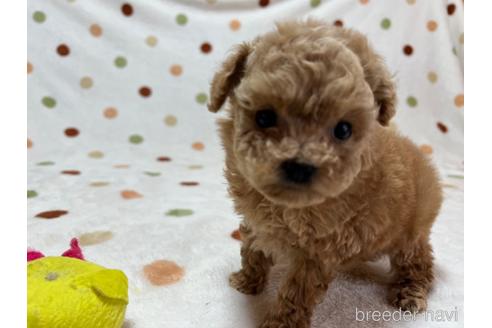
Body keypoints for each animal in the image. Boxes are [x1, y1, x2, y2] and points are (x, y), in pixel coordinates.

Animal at [207, 21, 442, 328]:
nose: (300, 166)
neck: (286, 206)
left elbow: (296, 292)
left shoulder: (316, 254)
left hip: (410, 235)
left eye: (343, 129)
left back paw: (411, 294)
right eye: (264, 117)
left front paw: (281, 323)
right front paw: (247, 280)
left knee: (419, 263)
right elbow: (252, 248)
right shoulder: (256, 220)